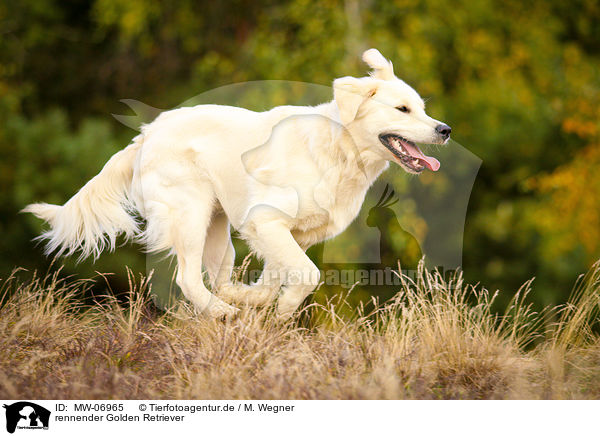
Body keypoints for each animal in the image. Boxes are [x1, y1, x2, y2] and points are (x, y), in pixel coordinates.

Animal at [27, 49, 450, 318]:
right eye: (402, 109)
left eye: (422, 108)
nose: (444, 130)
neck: (338, 151)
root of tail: (146, 135)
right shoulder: (267, 220)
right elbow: (307, 274)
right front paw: (282, 310)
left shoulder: (292, 234)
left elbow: (276, 278)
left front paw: (262, 301)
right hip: (191, 214)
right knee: (188, 278)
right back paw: (224, 311)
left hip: (219, 229)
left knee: (216, 276)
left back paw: (233, 298)